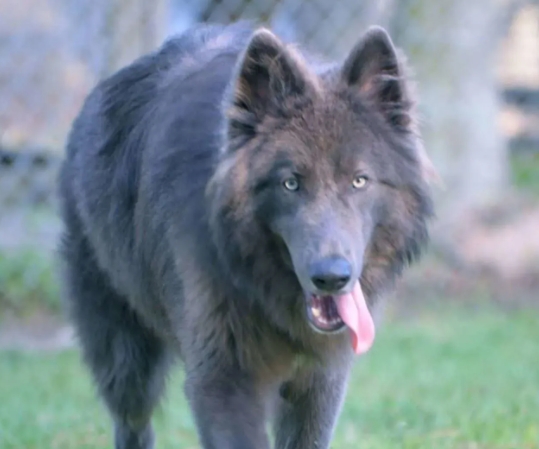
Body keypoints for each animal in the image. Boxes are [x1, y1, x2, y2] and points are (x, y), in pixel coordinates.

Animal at [58, 21, 434, 448]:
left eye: (359, 180)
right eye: (290, 183)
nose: (331, 277)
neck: (264, 292)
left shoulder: (319, 382)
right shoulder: (224, 380)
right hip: (126, 362)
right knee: (132, 422)